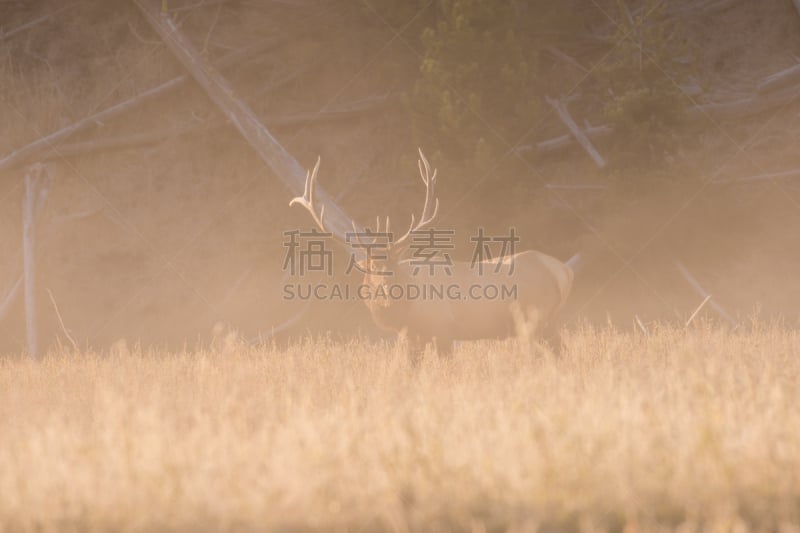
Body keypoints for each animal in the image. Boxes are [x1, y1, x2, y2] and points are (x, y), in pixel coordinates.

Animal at [290, 149, 572, 354]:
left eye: (392, 269)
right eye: (371, 270)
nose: (387, 294)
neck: (408, 312)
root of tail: (562, 272)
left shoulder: (443, 331)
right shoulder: (411, 339)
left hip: (536, 319)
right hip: (549, 321)